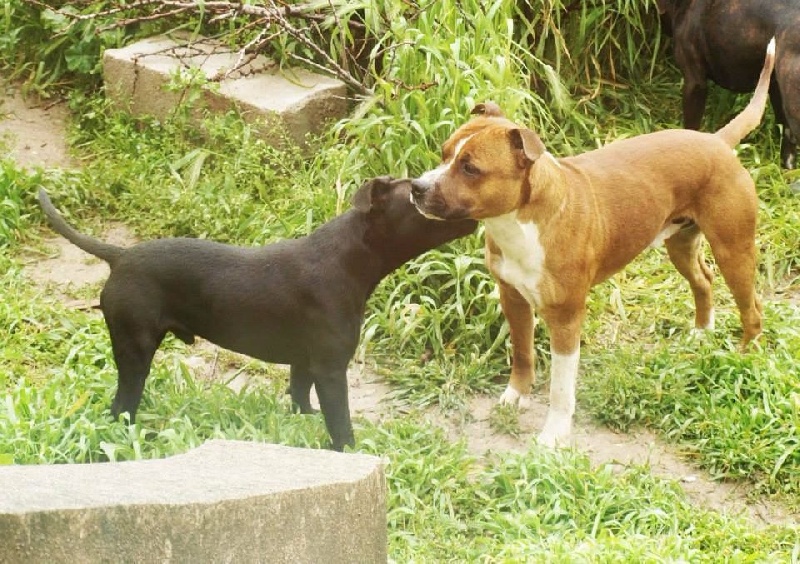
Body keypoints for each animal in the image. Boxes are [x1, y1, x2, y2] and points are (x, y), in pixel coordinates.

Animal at [39, 178, 476, 452]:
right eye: (416, 194)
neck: (354, 256)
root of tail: (119, 257)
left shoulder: (305, 362)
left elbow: (300, 397)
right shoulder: (331, 368)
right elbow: (341, 422)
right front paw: (351, 452)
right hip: (135, 350)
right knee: (121, 405)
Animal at [410, 39, 772, 448]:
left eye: (470, 168)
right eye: (444, 153)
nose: (417, 188)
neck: (518, 224)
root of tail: (716, 139)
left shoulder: (566, 317)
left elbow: (560, 388)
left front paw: (553, 435)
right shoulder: (513, 297)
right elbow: (522, 352)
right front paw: (516, 395)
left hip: (733, 249)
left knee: (752, 308)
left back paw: (744, 356)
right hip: (681, 244)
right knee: (703, 281)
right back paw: (701, 333)